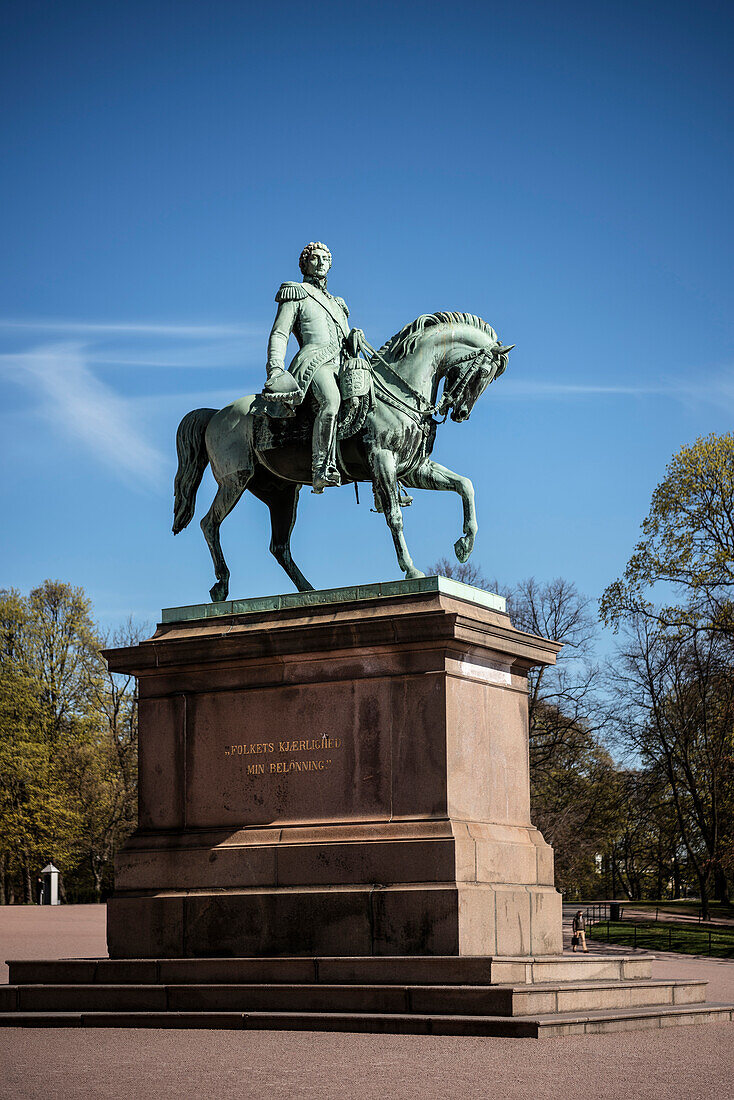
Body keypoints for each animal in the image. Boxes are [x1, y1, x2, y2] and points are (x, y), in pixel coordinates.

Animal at [174, 310, 515, 602]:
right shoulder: (383, 460)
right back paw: (222, 584)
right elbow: (395, 516)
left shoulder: (413, 469)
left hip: (281, 493)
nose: (460, 412)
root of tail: (216, 413)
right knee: (209, 523)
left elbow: (465, 485)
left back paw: (308, 591)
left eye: (492, 377)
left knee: (279, 546)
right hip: (235, 481)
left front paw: (464, 546)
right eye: (484, 372)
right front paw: (411, 569)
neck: (398, 393)